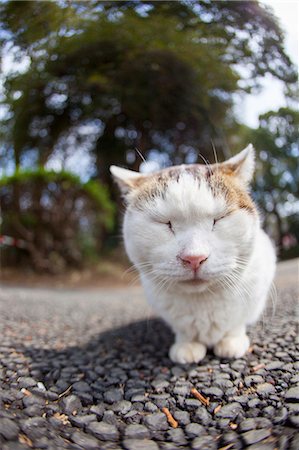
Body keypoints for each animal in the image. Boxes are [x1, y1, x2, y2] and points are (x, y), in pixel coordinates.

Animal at [111, 146, 278, 364]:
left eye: (219, 219)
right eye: (165, 223)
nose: (194, 258)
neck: (202, 300)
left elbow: (236, 323)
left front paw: (231, 340)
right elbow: (184, 331)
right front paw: (187, 344)